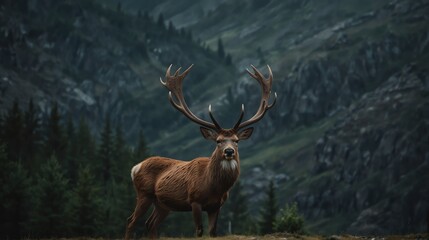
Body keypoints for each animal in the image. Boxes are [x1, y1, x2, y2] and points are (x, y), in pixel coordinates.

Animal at [125, 63, 276, 238]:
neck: (214, 187)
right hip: (144, 194)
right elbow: (199, 231)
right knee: (131, 221)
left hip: (163, 204)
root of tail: (135, 167)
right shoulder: (194, 201)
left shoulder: (216, 206)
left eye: (237, 141)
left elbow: (212, 232)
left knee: (151, 224)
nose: (229, 151)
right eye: (218, 141)